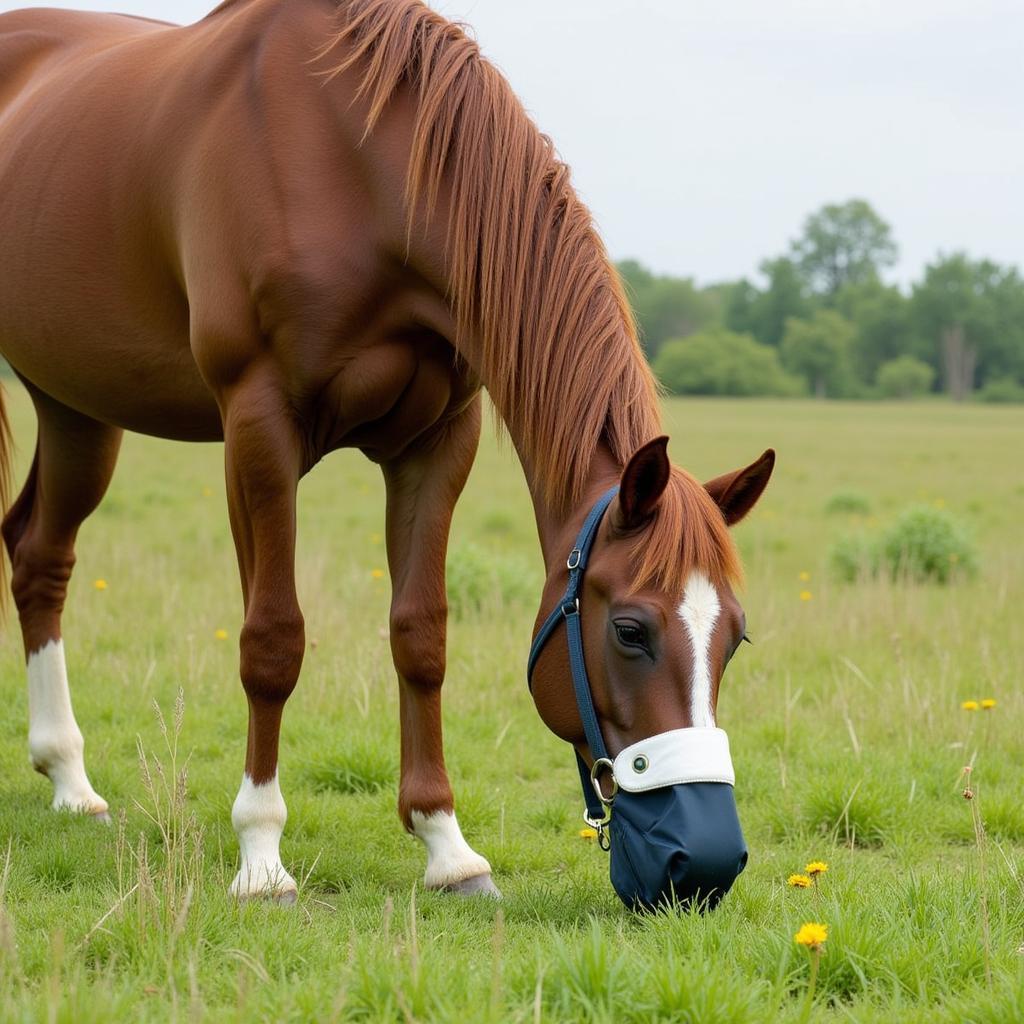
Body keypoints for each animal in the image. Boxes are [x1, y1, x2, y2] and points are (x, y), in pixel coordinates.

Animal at [0, 0, 770, 913]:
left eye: (735, 638)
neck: (350, 165)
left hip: (76, 408)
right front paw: (261, 855)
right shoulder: (259, 424)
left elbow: (420, 632)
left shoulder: (438, 441)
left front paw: (448, 848)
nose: (706, 865)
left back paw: (69, 780)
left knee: (40, 556)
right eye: (629, 630)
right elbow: (273, 639)